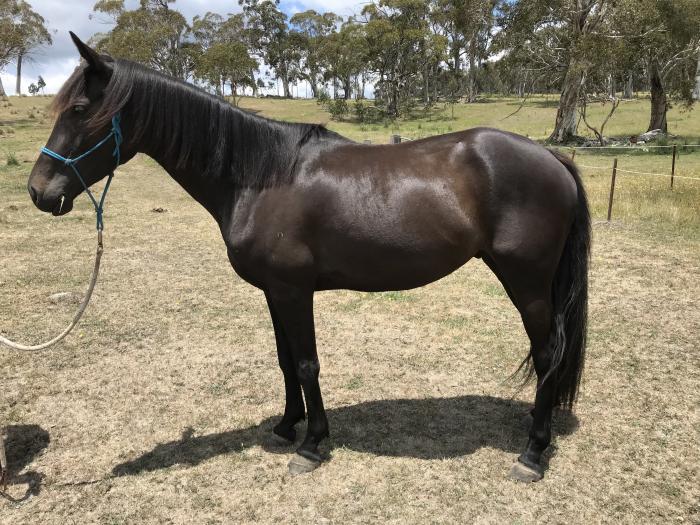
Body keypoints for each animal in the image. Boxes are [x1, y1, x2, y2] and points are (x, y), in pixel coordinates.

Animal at [27, 33, 590, 482]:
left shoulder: (295, 291)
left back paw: (533, 453)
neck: (259, 178)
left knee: (547, 353)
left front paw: (313, 444)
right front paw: (284, 427)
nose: (39, 192)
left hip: (527, 283)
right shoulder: (275, 292)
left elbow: (306, 362)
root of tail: (551, 156)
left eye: (80, 110)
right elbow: (284, 361)